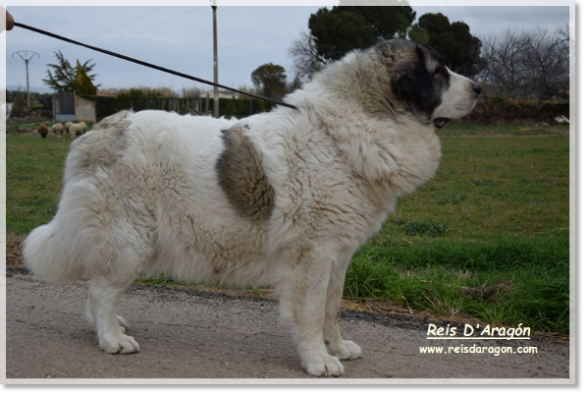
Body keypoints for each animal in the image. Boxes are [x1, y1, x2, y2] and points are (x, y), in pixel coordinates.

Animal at [22, 39, 480, 378]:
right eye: (439, 73)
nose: (479, 88)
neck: (345, 131)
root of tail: (105, 126)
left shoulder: (339, 255)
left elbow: (332, 307)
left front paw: (337, 346)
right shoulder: (312, 256)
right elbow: (310, 313)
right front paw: (318, 360)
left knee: (99, 286)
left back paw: (111, 326)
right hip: (130, 240)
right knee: (101, 289)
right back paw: (112, 338)